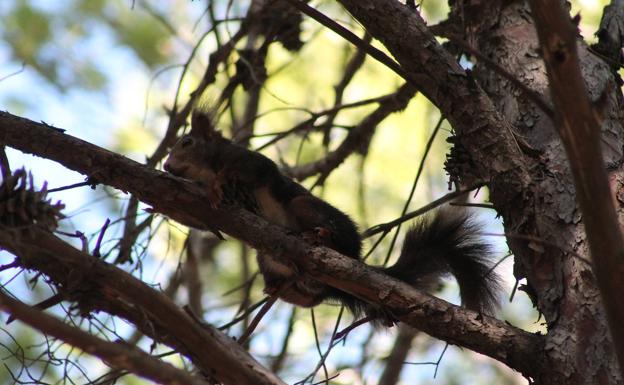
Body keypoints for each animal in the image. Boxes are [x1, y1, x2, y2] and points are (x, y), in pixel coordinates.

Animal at [163, 109, 500, 326]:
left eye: (187, 142)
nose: (166, 167)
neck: (208, 169)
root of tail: (355, 258)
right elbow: (201, 218)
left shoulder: (251, 163)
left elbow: (248, 171)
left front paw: (219, 184)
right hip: (268, 261)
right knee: (311, 298)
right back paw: (279, 289)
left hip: (304, 207)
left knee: (326, 236)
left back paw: (320, 238)